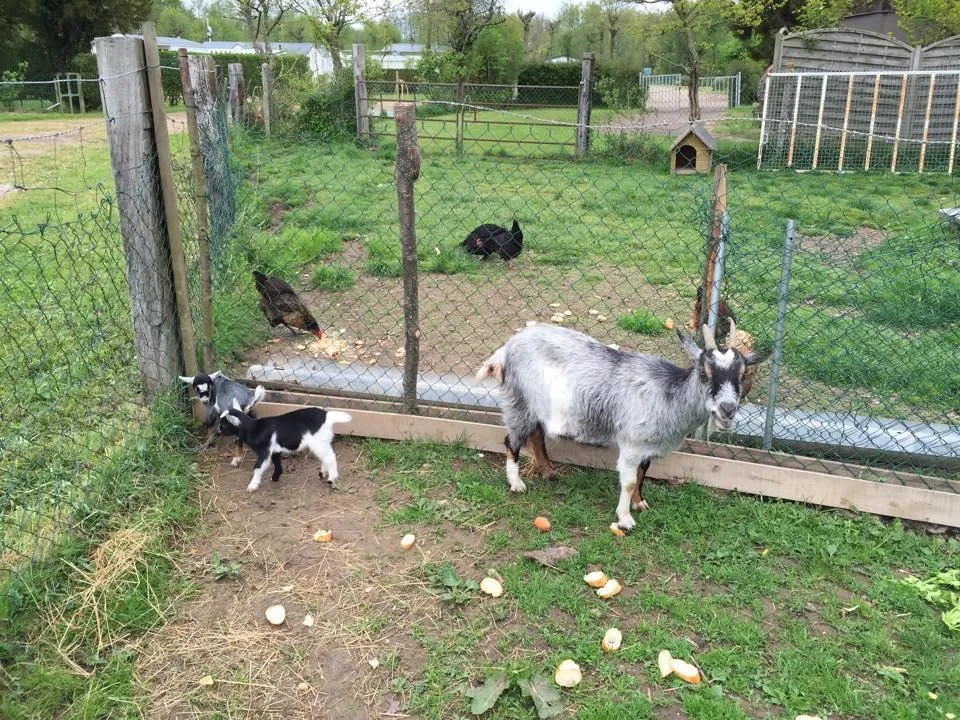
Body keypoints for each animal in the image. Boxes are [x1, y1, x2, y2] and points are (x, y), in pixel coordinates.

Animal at [218, 404, 352, 496]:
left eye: (223, 426)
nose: (217, 431)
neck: (254, 428)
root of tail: (327, 416)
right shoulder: (275, 451)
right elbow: (277, 465)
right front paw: (275, 478)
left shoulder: (264, 451)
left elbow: (258, 467)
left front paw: (252, 486)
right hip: (323, 441)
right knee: (326, 456)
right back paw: (323, 473)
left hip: (318, 442)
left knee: (330, 457)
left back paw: (331, 479)